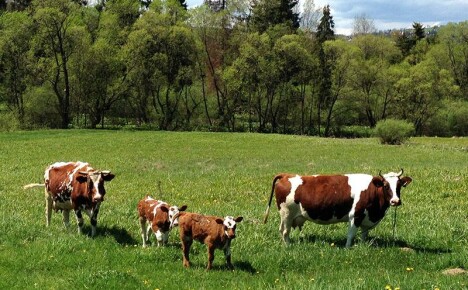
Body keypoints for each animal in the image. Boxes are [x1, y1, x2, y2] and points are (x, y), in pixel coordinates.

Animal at [264, 170, 414, 247]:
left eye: (399, 186)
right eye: (385, 185)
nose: (395, 201)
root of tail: (286, 175)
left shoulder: (366, 218)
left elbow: (364, 235)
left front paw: (363, 246)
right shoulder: (355, 216)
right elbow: (351, 234)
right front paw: (348, 249)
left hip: (286, 216)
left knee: (282, 230)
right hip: (287, 214)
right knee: (285, 231)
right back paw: (288, 246)